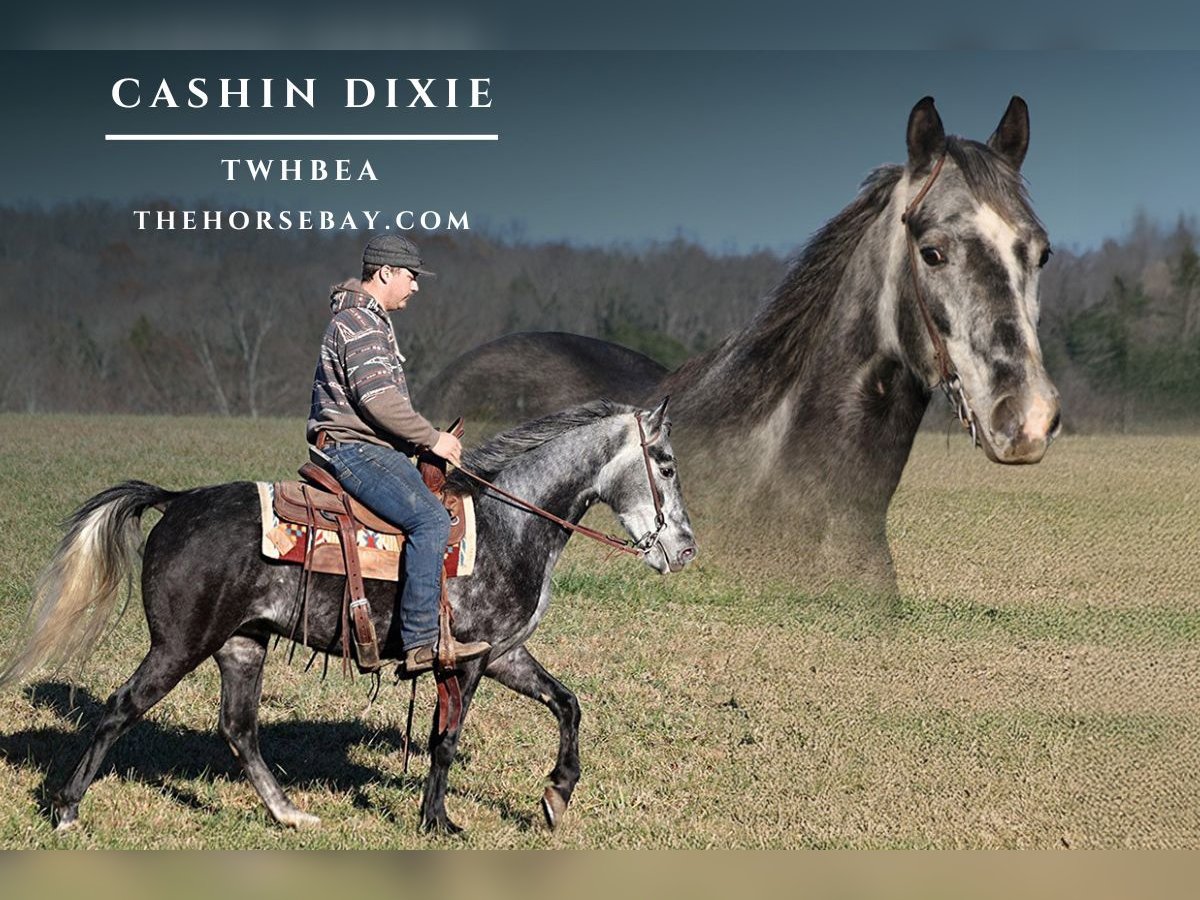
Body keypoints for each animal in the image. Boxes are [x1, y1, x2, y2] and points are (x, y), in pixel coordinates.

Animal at [0, 398, 697, 834]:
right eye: (665, 465)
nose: (685, 548)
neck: (510, 522)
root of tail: (177, 501)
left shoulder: (502, 655)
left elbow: (568, 704)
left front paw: (556, 795)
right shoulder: (466, 662)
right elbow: (446, 741)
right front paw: (438, 822)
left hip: (242, 645)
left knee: (239, 729)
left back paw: (290, 815)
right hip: (178, 646)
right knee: (121, 709)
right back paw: (66, 809)